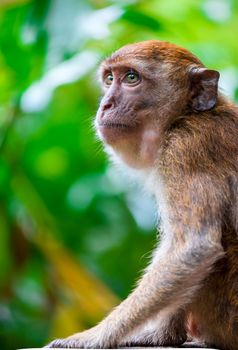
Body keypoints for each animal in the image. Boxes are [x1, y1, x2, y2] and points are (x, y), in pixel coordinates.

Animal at [46, 39, 238, 348]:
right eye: (109, 79)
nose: (105, 104)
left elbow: (192, 248)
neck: (184, 116)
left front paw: (93, 336)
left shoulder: (187, 148)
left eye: (131, 77)